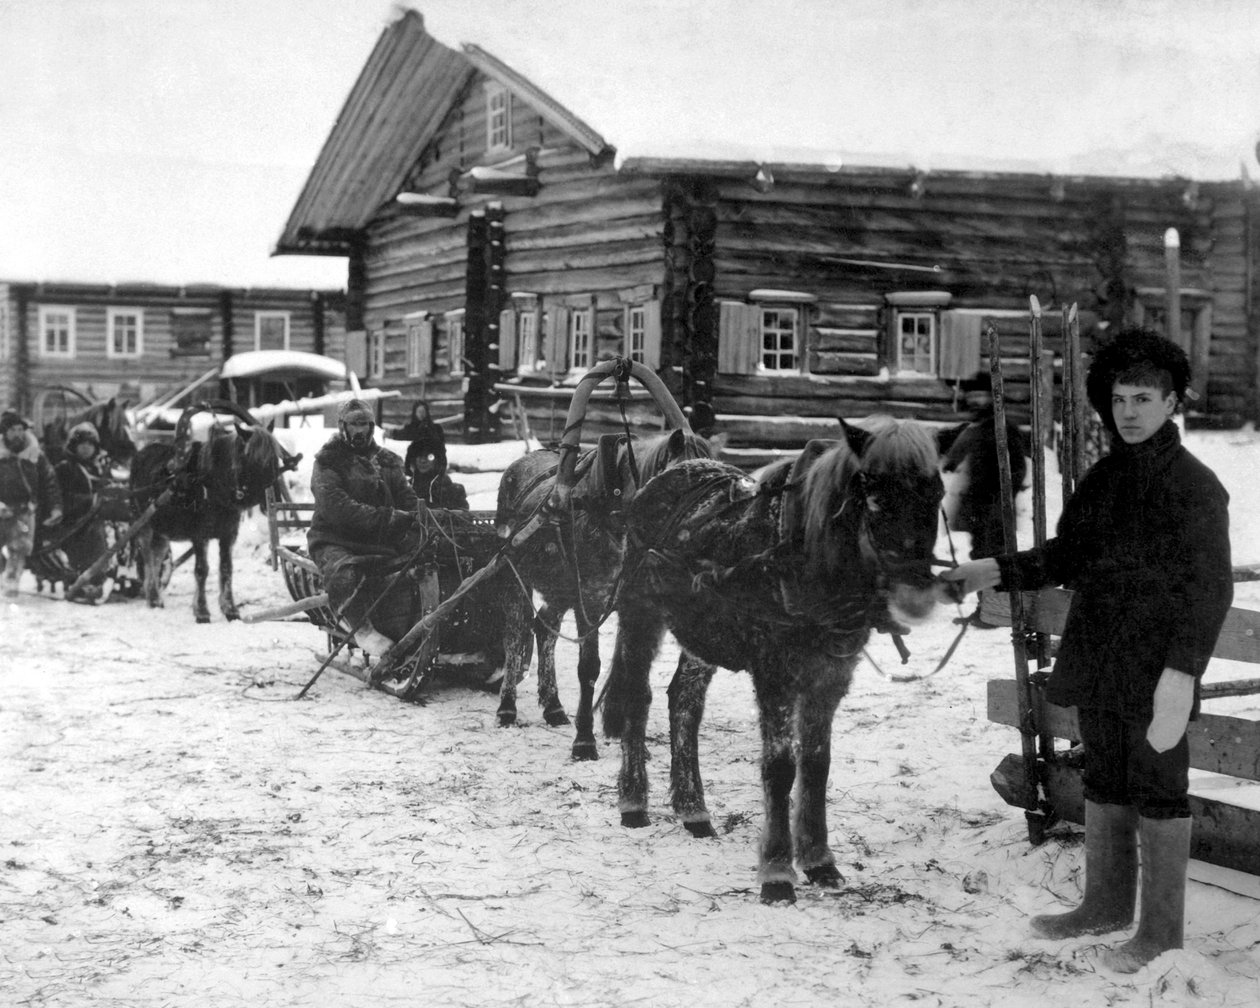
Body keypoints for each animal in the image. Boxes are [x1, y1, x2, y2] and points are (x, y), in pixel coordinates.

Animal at [131, 410, 301, 622]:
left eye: (275, 460)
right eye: (252, 460)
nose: (274, 499)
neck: (212, 486)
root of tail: (141, 452)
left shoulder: (228, 535)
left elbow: (226, 569)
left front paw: (230, 608)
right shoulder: (199, 535)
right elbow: (201, 570)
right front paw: (201, 610)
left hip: (161, 530)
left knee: (156, 557)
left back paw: (154, 596)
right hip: (144, 526)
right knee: (147, 559)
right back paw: (153, 597)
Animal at [488, 428, 710, 761]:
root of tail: (519, 463)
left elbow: (629, 672)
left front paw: (631, 741)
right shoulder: (590, 603)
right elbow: (589, 668)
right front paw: (584, 741)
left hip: (561, 586)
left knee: (545, 628)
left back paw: (553, 706)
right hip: (516, 576)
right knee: (515, 635)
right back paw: (507, 708)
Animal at [599, 418, 947, 907]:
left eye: (937, 493)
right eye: (874, 494)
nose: (916, 595)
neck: (806, 564)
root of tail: (669, 472)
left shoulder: (829, 678)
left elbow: (817, 765)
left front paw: (819, 860)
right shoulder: (775, 676)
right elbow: (780, 768)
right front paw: (778, 872)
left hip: (701, 635)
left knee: (683, 702)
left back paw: (693, 809)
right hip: (639, 613)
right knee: (636, 694)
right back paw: (633, 802)